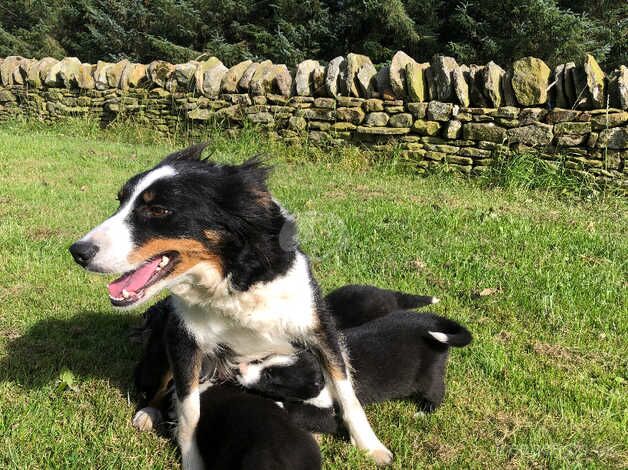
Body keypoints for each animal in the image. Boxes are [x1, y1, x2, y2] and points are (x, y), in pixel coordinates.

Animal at [68, 145, 392, 468]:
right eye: (120, 202)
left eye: (158, 210)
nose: (78, 252)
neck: (232, 281)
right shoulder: (183, 340)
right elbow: (190, 413)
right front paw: (192, 460)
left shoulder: (318, 327)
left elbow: (346, 390)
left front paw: (370, 446)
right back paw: (148, 413)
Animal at [236, 312, 472, 434]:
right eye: (262, 359)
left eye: (271, 377)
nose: (239, 371)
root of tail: (430, 320)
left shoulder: (329, 412)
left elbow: (303, 414)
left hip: (430, 372)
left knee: (435, 391)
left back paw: (424, 411)